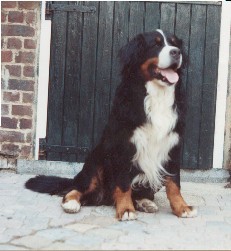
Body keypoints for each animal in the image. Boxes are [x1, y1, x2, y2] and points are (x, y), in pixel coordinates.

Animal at [26, 29, 197, 221]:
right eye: (156, 44)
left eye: (174, 43)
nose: (176, 52)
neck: (157, 96)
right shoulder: (123, 147)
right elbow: (123, 184)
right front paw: (126, 209)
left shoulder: (172, 146)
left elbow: (174, 183)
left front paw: (182, 207)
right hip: (95, 161)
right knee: (78, 188)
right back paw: (72, 202)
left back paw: (145, 202)